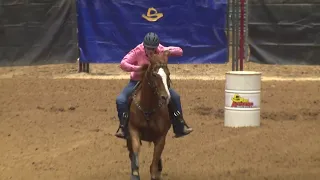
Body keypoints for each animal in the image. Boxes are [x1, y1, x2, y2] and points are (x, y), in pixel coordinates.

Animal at [126, 51, 174, 180]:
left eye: (168, 73)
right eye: (154, 74)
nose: (165, 97)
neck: (148, 108)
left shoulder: (161, 138)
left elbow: (154, 164)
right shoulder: (133, 130)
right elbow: (135, 153)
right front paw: (135, 174)